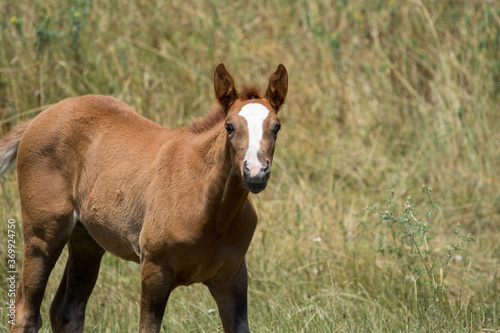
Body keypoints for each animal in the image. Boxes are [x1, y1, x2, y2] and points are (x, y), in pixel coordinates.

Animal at [0, 63, 288, 330]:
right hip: (44, 234)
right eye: (229, 126)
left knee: (67, 310)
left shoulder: (232, 276)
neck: (211, 209)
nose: (255, 171)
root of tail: (39, 117)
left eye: (276, 127)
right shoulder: (154, 270)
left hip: (86, 239)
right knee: (25, 313)